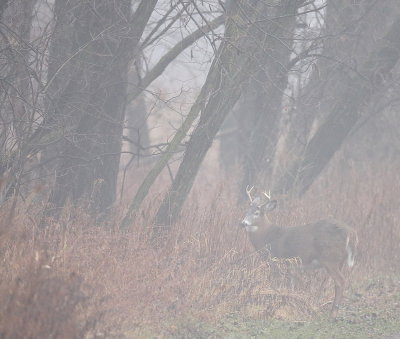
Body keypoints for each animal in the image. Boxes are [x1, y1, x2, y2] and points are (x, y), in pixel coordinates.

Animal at [239, 187, 358, 320]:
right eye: (246, 211)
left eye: (256, 213)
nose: (243, 223)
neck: (268, 237)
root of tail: (351, 232)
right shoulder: (290, 266)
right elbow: (290, 285)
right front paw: (290, 302)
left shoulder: (277, 260)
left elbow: (277, 285)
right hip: (340, 261)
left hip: (329, 259)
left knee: (341, 281)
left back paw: (332, 314)